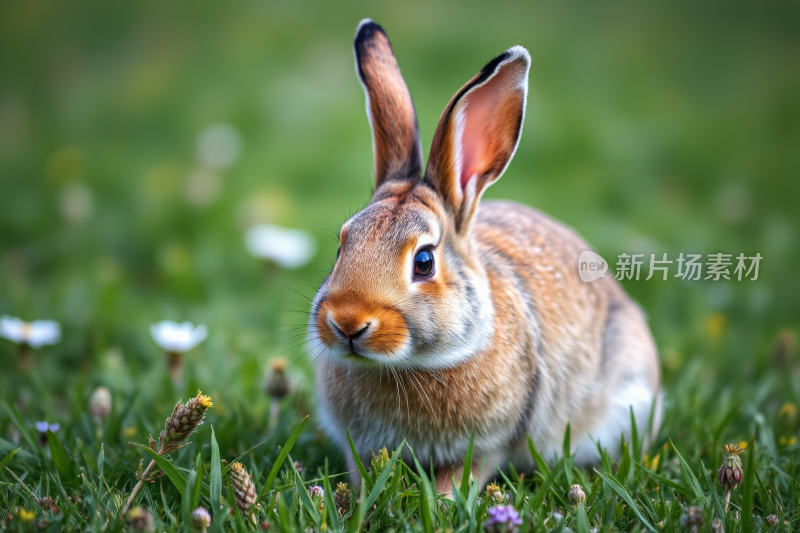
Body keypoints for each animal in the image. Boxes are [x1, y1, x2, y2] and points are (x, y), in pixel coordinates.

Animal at [310, 20, 660, 494]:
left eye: (424, 262)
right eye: (342, 245)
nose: (347, 323)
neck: (408, 364)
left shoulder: (490, 443)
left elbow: (466, 473)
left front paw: (441, 501)